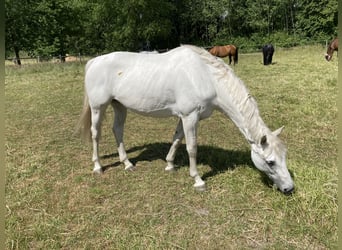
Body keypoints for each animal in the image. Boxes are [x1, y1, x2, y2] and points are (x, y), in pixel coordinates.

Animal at [77, 44, 294, 193]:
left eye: (284, 157)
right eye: (271, 162)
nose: (289, 188)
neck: (205, 77)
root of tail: (94, 61)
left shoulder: (184, 117)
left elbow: (177, 139)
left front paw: (170, 165)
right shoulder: (190, 117)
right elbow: (191, 147)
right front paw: (198, 180)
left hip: (119, 105)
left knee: (118, 130)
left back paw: (128, 164)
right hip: (98, 107)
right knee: (96, 134)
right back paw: (98, 167)